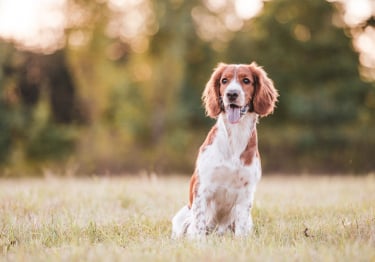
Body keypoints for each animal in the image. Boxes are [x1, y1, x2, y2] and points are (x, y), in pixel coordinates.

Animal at [172, 62, 278, 238]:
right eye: (224, 80)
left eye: (246, 80)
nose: (232, 94)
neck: (234, 137)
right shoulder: (202, 187)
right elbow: (199, 226)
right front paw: (199, 242)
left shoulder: (246, 191)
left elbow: (241, 228)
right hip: (181, 216)